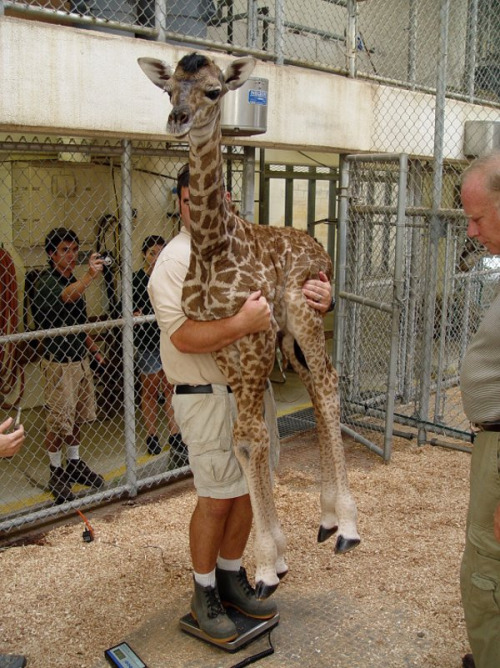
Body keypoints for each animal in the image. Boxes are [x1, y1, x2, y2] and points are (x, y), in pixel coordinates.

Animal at [138, 52, 360, 599]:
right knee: (317, 388)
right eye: (169, 89)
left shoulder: (255, 333)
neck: (212, 248)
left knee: (329, 386)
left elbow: (255, 435)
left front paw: (262, 568)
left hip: (302, 313)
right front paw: (274, 558)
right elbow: (243, 438)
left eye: (214, 90)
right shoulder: (225, 343)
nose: (177, 119)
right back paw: (327, 519)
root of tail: (320, 248)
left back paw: (347, 525)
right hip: (290, 342)